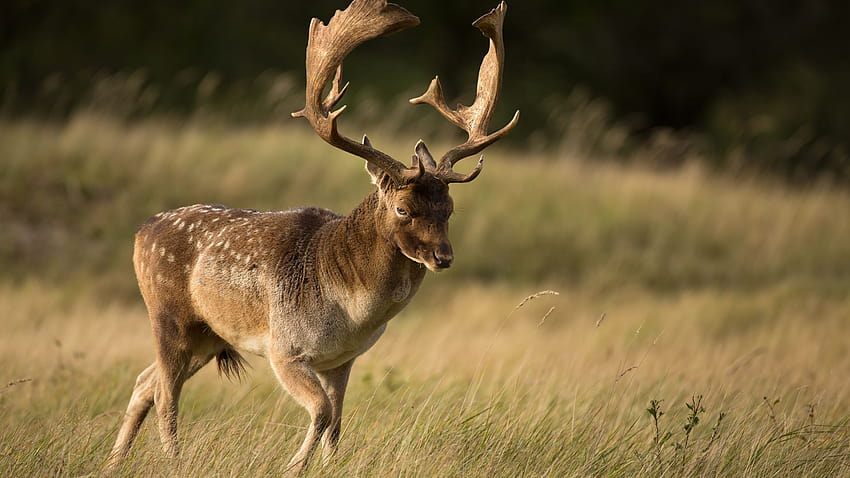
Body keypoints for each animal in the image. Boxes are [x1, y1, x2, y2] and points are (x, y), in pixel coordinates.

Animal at [106, 0, 516, 472]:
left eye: (449, 209)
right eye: (403, 209)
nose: (443, 257)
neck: (350, 309)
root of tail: (141, 231)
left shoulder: (342, 360)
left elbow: (336, 423)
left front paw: (328, 465)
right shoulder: (285, 349)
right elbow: (320, 413)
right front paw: (292, 466)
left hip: (209, 335)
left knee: (145, 382)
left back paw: (113, 462)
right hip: (168, 316)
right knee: (166, 396)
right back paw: (175, 461)